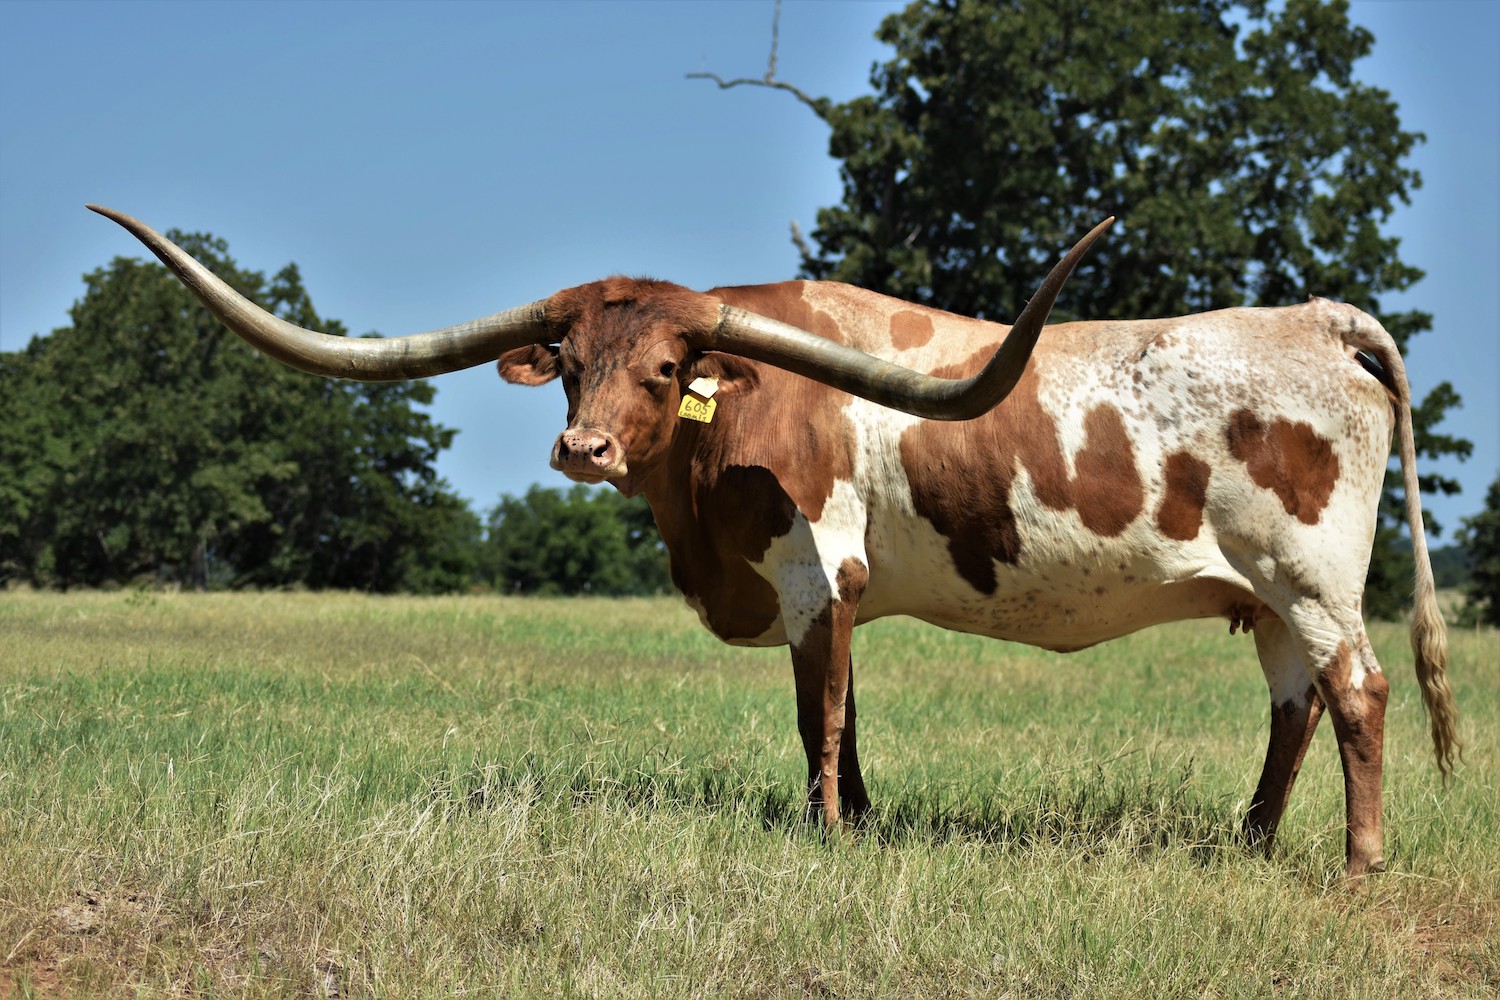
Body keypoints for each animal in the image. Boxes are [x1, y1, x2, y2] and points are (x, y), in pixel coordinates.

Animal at [90, 204, 1458, 878]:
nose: (582, 448)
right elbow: (849, 712)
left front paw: (827, 833)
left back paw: (1359, 862)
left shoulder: (816, 573)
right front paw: (860, 820)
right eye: (570, 363)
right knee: (1293, 709)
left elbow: (823, 712)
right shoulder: (833, 596)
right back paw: (1252, 842)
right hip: (1266, 598)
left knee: (1360, 694)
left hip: (1314, 582)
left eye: (666, 366)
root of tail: (1319, 318)